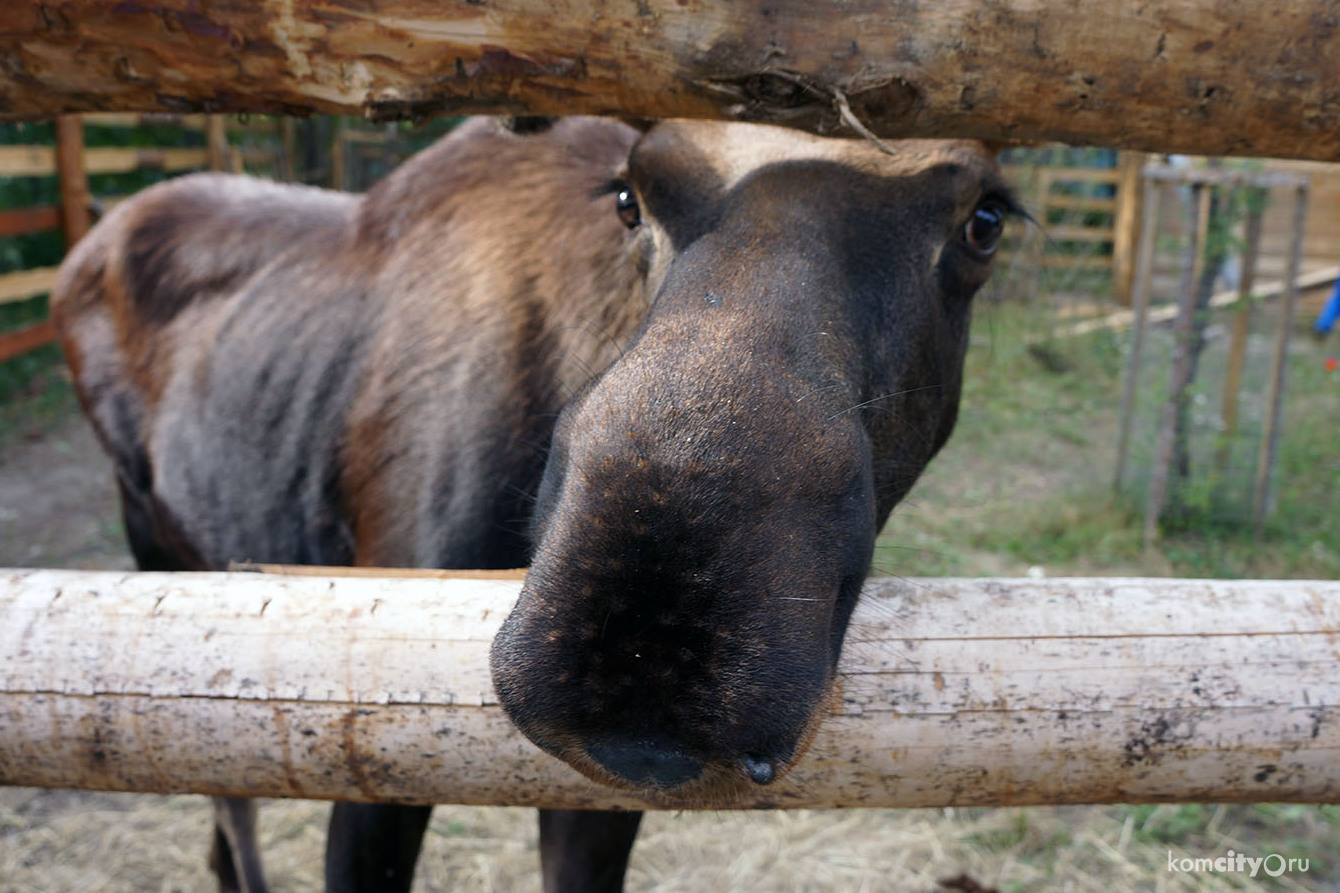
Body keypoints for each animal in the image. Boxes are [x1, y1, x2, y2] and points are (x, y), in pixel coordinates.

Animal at [52, 116, 1013, 890]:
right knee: (227, 808)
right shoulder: (365, 753)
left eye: (985, 222)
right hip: (157, 553)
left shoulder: (606, 791)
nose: (650, 627)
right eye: (631, 195)